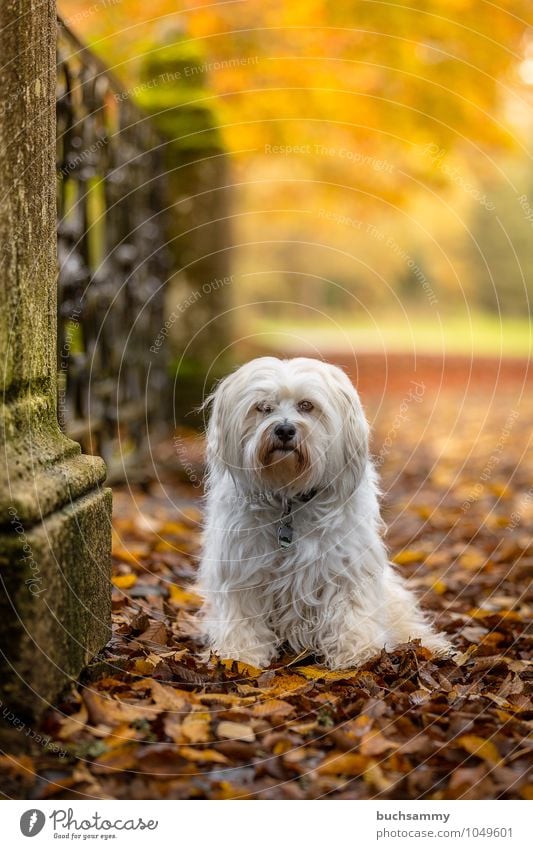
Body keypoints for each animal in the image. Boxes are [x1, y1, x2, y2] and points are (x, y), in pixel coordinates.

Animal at [197, 354, 446, 664]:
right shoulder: (241, 567)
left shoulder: (345, 565)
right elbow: (243, 615)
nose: (284, 429)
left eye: (307, 406)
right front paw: (239, 654)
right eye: (263, 408)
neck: (288, 498)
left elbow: (351, 609)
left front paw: (359, 651)